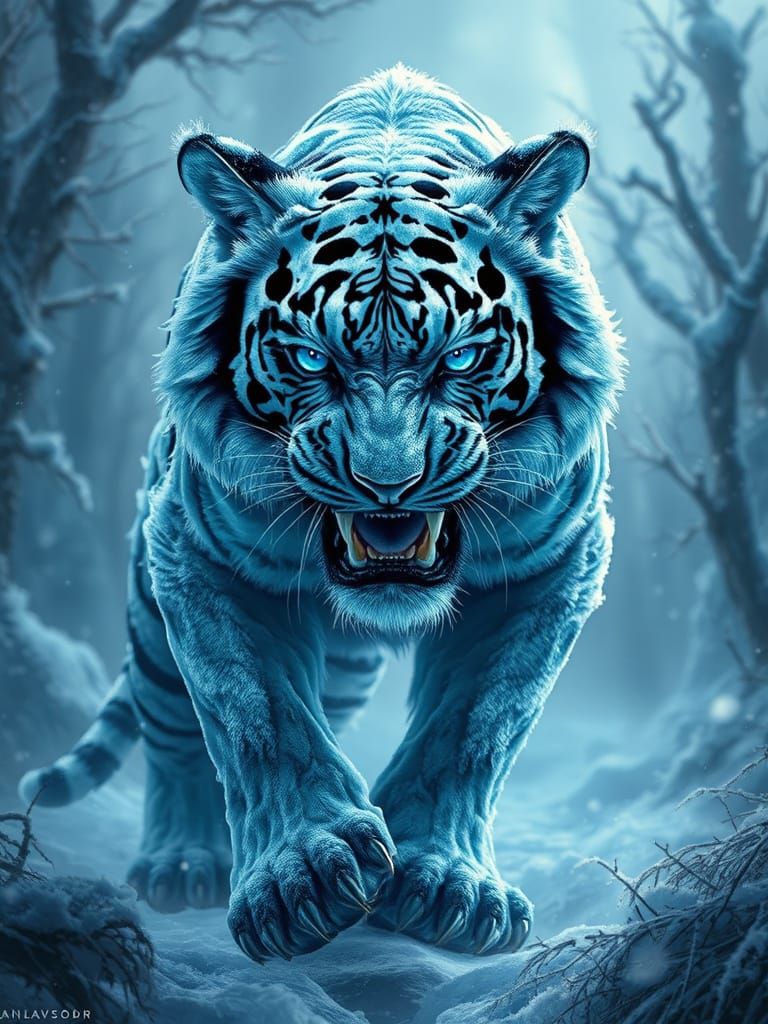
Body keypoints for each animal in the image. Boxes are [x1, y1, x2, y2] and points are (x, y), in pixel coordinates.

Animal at [20, 65, 623, 962]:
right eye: (310, 357)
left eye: (462, 357)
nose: (388, 487)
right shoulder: (196, 554)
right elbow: (255, 714)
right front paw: (302, 877)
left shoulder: (555, 566)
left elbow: (476, 726)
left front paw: (443, 883)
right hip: (149, 605)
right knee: (171, 731)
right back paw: (182, 861)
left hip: (342, 659)